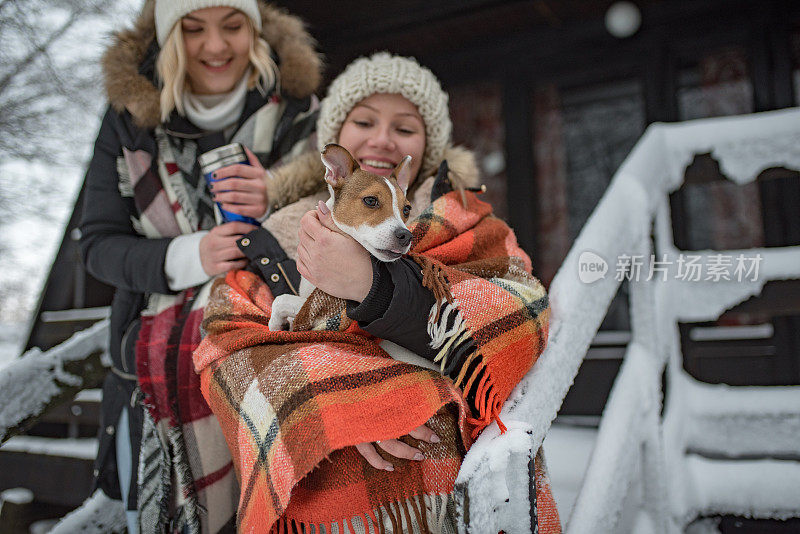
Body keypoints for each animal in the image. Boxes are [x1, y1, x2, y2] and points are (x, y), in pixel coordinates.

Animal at [272, 144, 416, 332]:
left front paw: (274, 326)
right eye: (371, 200)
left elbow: (281, 300)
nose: (406, 236)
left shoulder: (317, 307)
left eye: (406, 209)